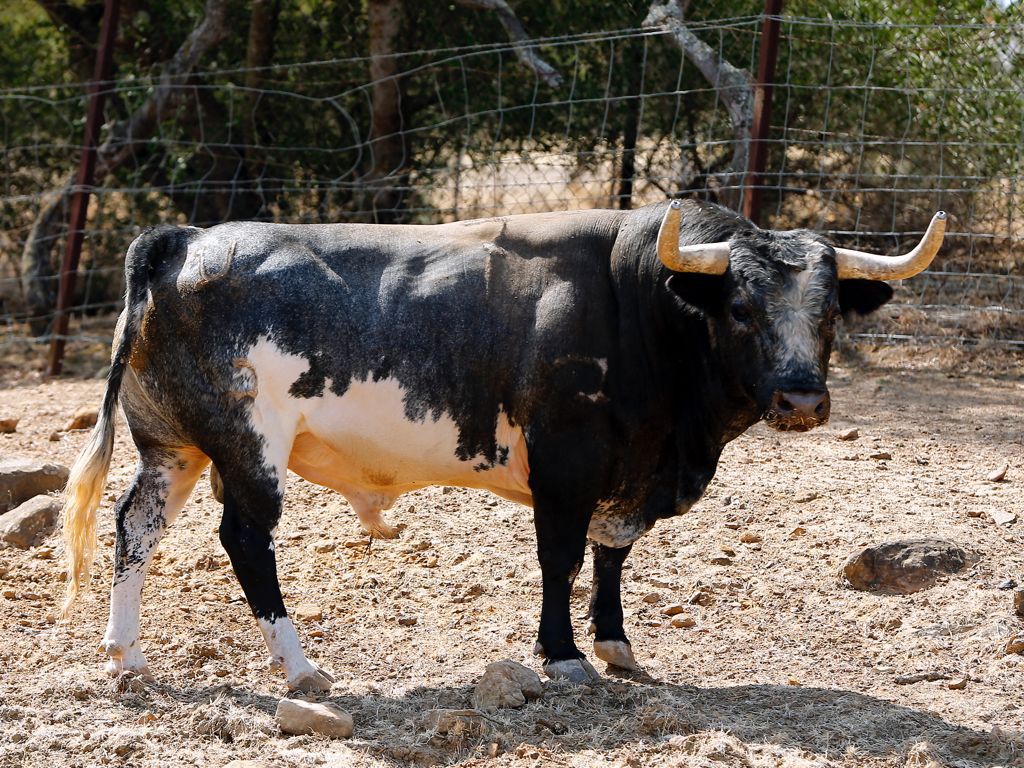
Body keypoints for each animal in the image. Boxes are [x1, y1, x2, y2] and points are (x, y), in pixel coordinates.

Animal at [61, 199, 945, 689]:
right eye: (740, 308)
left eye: (828, 314)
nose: (801, 399)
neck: (642, 305)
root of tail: (183, 240)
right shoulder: (566, 462)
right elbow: (562, 558)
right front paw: (563, 655)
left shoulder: (628, 474)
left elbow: (612, 554)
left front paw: (617, 644)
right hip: (249, 449)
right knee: (245, 538)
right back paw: (299, 664)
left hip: (173, 446)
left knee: (136, 527)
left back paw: (125, 655)